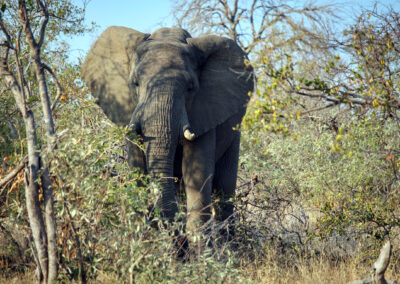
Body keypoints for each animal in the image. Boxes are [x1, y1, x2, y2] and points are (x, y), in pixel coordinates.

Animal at [81, 26, 253, 235]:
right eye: (135, 83)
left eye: (190, 88)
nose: (174, 227)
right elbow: (137, 170)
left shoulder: (204, 110)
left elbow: (196, 174)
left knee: (224, 186)